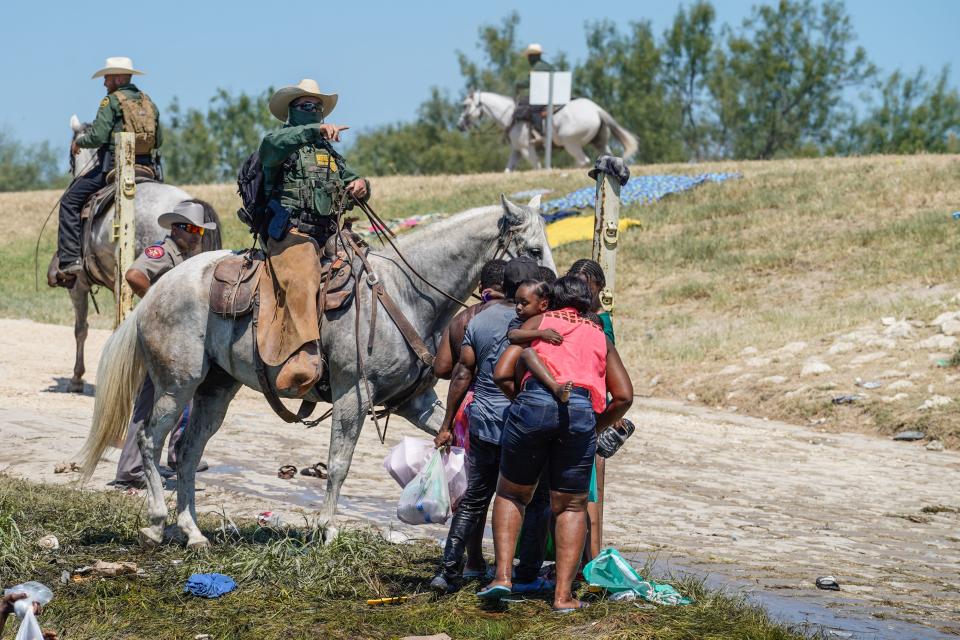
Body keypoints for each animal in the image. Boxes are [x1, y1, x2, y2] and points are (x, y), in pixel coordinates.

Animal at [458, 90, 636, 174]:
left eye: (465, 105)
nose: (460, 125)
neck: (511, 116)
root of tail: (597, 110)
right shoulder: (517, 151)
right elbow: (507, 170)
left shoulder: (526, 149)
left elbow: (536, 167)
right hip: (600, 143)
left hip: (571, 144)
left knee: (582, 160)